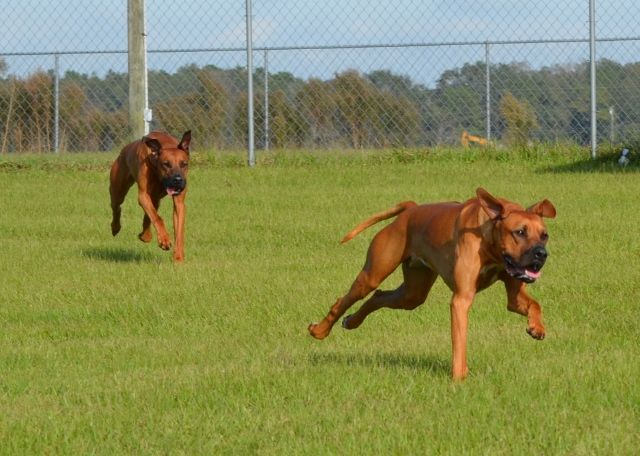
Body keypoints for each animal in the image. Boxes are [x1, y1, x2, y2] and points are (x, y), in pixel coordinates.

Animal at [109, 130, 191, 262]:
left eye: (184, 164)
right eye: (166, 164)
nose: (178, 180)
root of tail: (124, 150)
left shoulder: (179, 203)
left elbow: (179, 229)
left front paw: (178, 257)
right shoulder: (143, 195)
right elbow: (158, 219)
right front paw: (165, 240)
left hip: (155, 199)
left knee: (149, 214)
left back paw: (145, 235)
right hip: (118, 189)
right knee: (117, 207)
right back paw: (115, 227)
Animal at [308, 188, 556, 380]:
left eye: (544, 235)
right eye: (520, 232)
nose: (541, 254)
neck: (490, 243)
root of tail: (411, 209)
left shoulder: (514, 291)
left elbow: (533, 305)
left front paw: (537, 328)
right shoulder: (461, 300)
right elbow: (460, 341)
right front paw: (459, 377)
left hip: (413, 293)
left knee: (379, 296)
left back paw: (352, 322)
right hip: (373, 274)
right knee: (348, 298)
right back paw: (320, 330)